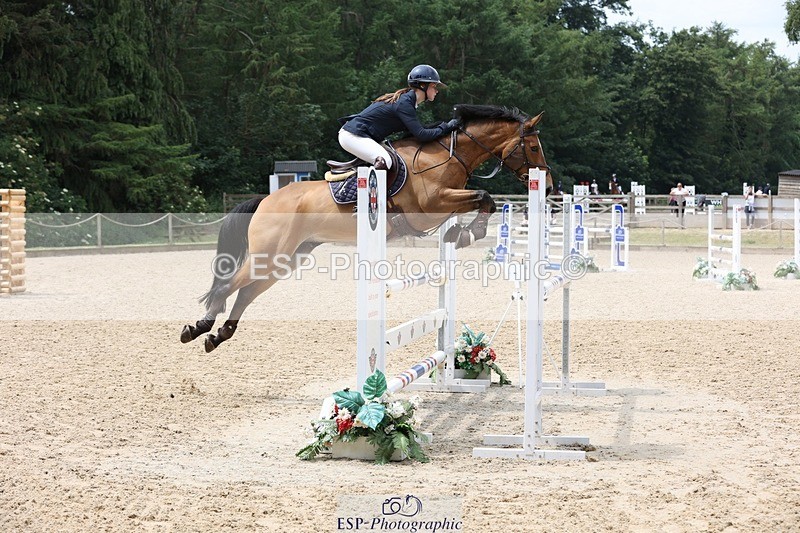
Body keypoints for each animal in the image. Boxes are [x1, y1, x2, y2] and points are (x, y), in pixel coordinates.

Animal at [181, 104, 553, 352]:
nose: (548, 186)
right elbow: (484, 196)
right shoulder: (429, 208)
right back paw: (199, 327)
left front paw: (460, 234)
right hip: (270, 253)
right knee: (227, 286)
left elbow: (483, 200)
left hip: (286, 259)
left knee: (244, 292)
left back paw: (218, 334)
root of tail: (266, 200)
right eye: (534, 146)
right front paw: (464, 234)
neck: (446, 156)